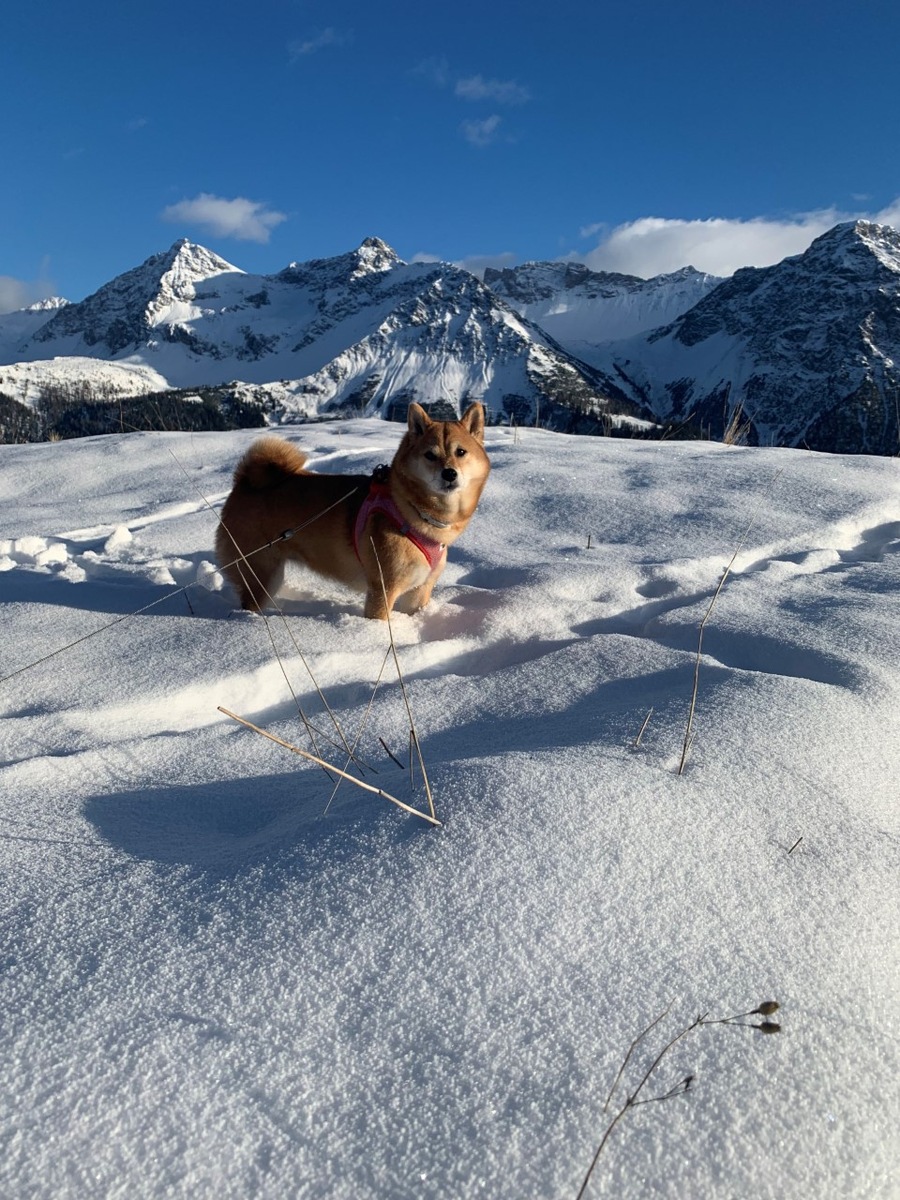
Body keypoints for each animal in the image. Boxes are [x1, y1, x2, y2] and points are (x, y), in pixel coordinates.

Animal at [214, 408, 489, 624]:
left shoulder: (419, 592)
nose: (449, 473)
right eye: (430, 454)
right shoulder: (383, 590)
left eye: (461, 452)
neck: (410, 510)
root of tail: (244, 483)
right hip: (261, 573)